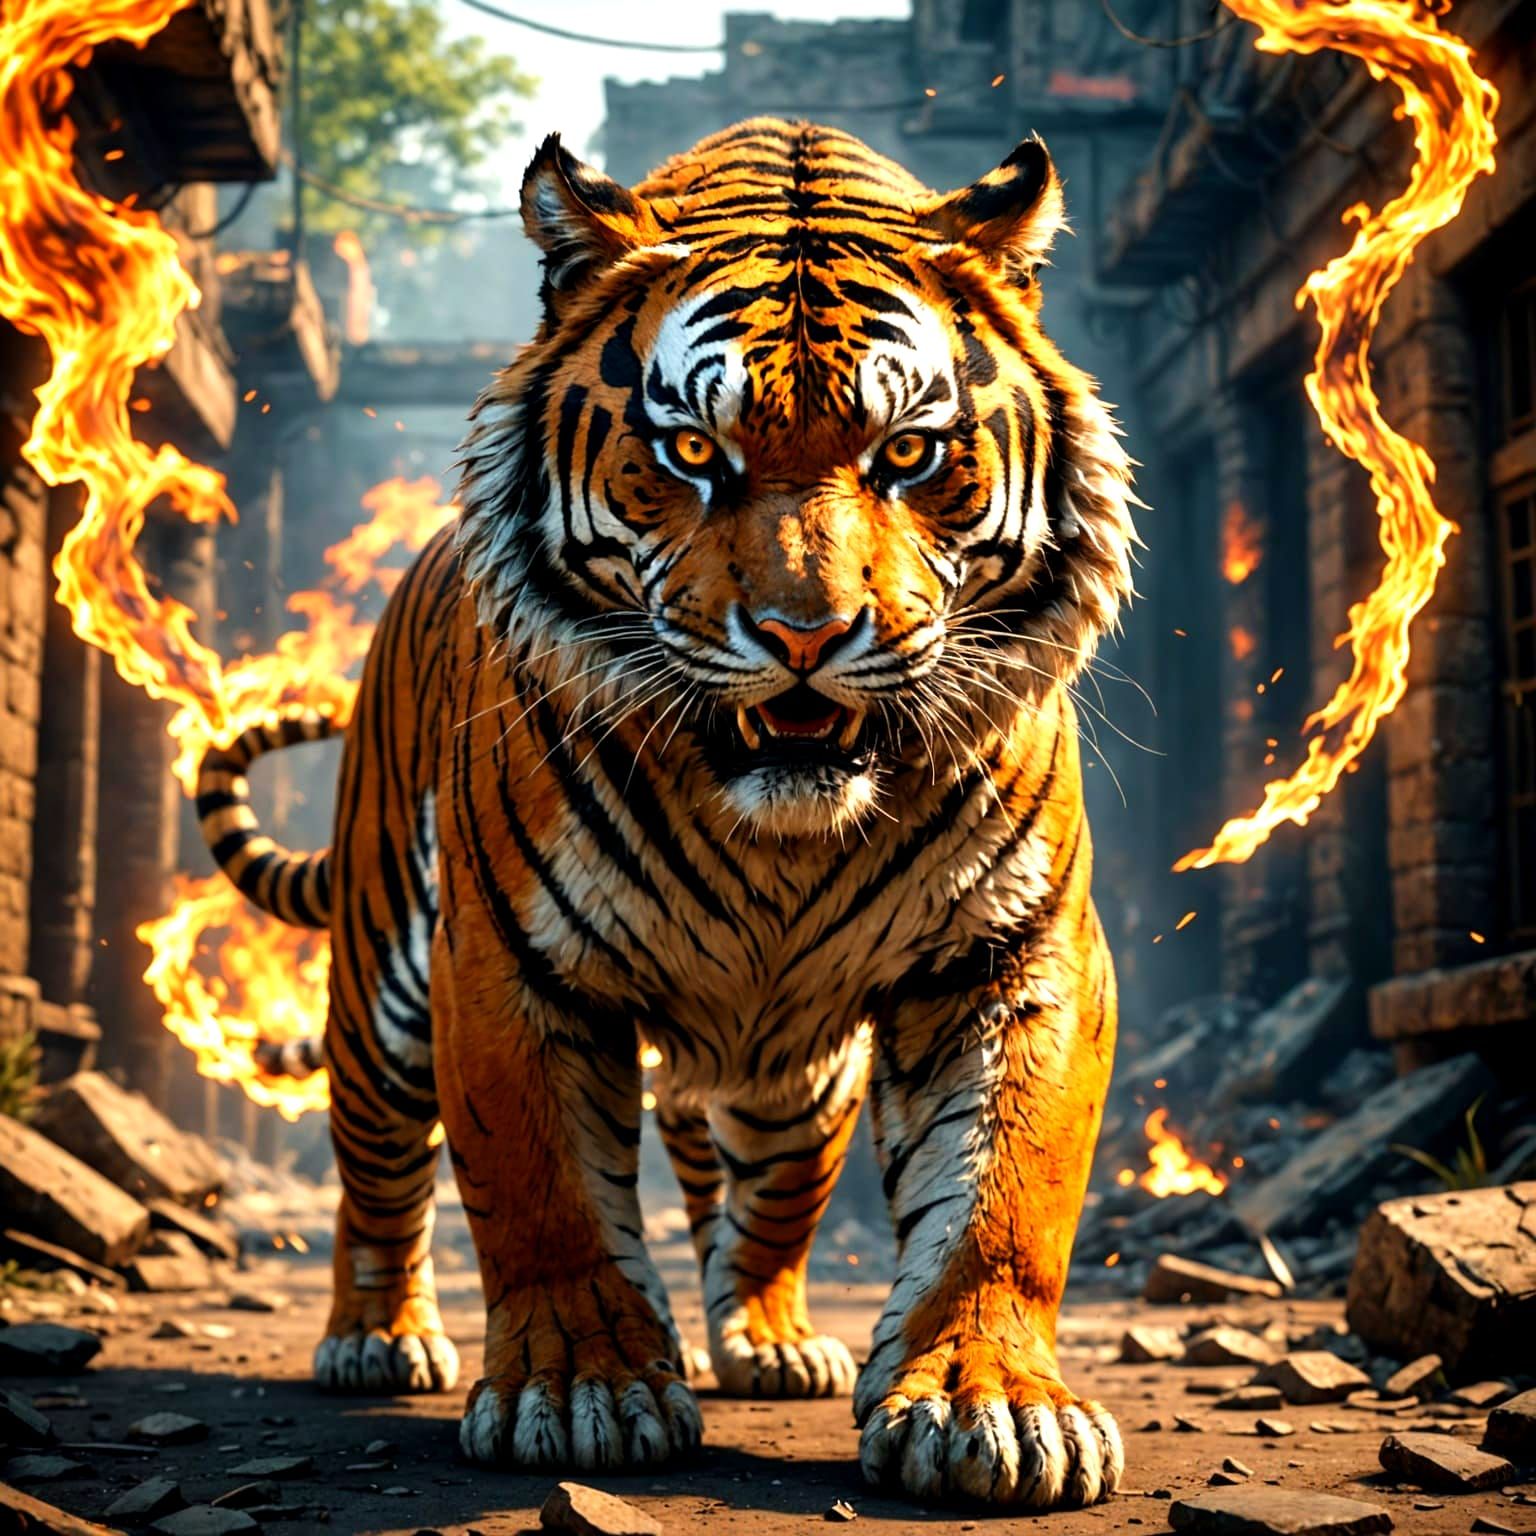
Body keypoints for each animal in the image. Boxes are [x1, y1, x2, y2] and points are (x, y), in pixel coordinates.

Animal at [196, 118, 1137, 1508]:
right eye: (693, 452)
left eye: (908, 453)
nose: (805, 635)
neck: (775, 827)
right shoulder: (507, 961)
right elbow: (544, 1192)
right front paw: (581, 1389)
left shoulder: (1015, 952)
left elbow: (1003, 1199)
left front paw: (991, 1405)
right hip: (381, 994)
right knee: (376, 1171)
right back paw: (375, 1336)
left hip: (793, 1088)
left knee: (764, 1206)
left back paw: (769, 1341)